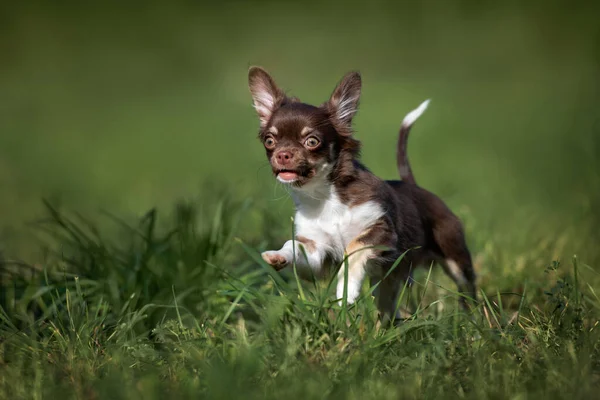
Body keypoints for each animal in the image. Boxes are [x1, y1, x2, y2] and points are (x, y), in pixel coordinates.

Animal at [246, 67, 476, 324]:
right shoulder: (317, 253)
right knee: (388, 305)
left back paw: (474, 318)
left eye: (312, 141)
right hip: (388, 282)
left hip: (454, 255)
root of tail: (415, 187)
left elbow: (353, 249)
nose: (282, 155)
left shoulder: (381, 232)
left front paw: (346, 289)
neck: (327, 197)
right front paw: (278, 256)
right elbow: (294, 245)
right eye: (270, 141)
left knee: (467, 287)